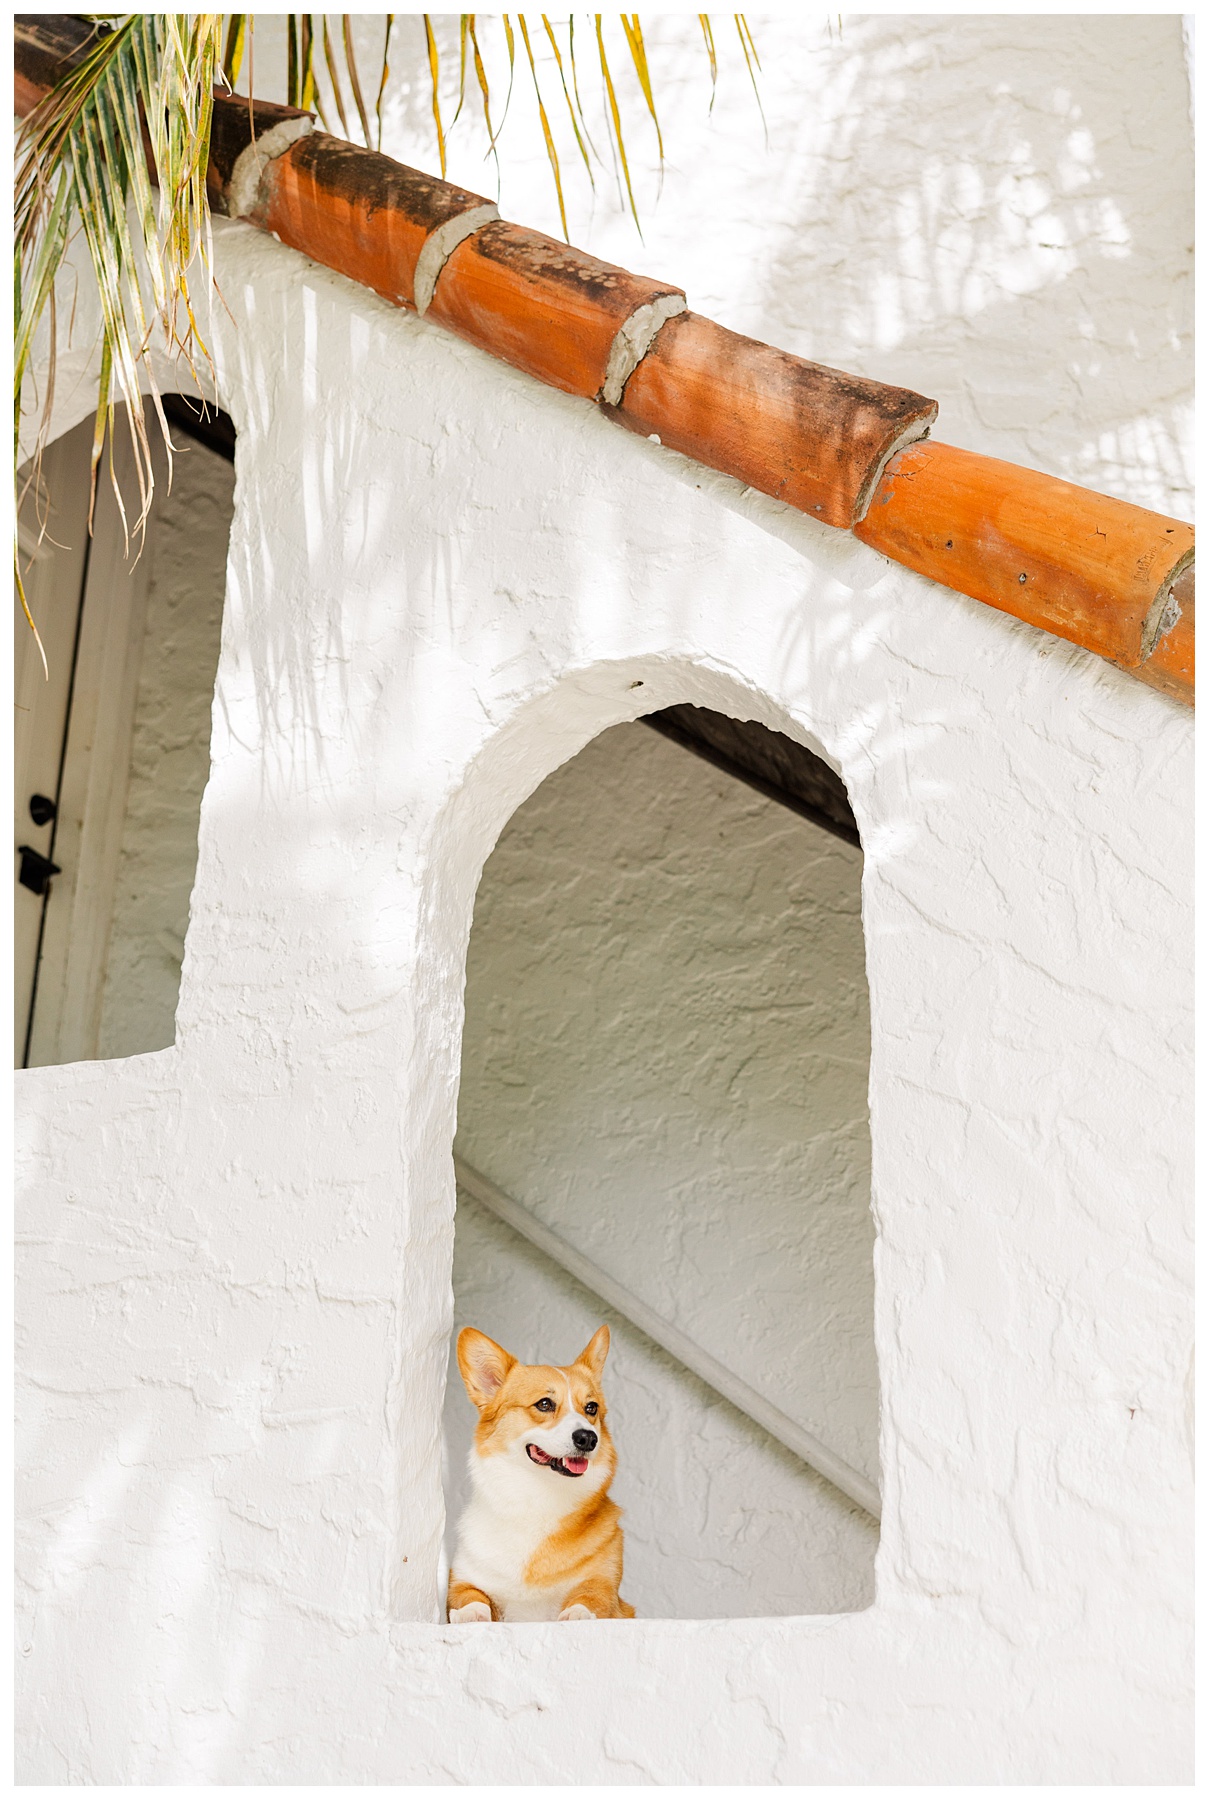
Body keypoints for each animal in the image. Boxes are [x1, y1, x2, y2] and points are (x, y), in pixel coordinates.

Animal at [444, 1324, 633, 1634]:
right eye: (544, 1404)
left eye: (591, 1408)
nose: (588, 1438)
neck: (537, 1497)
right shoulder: (463, 1577)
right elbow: (469, 1595)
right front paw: (471, 1614)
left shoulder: (606, 1586)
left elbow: (591, 1595)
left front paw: (577, 1614)